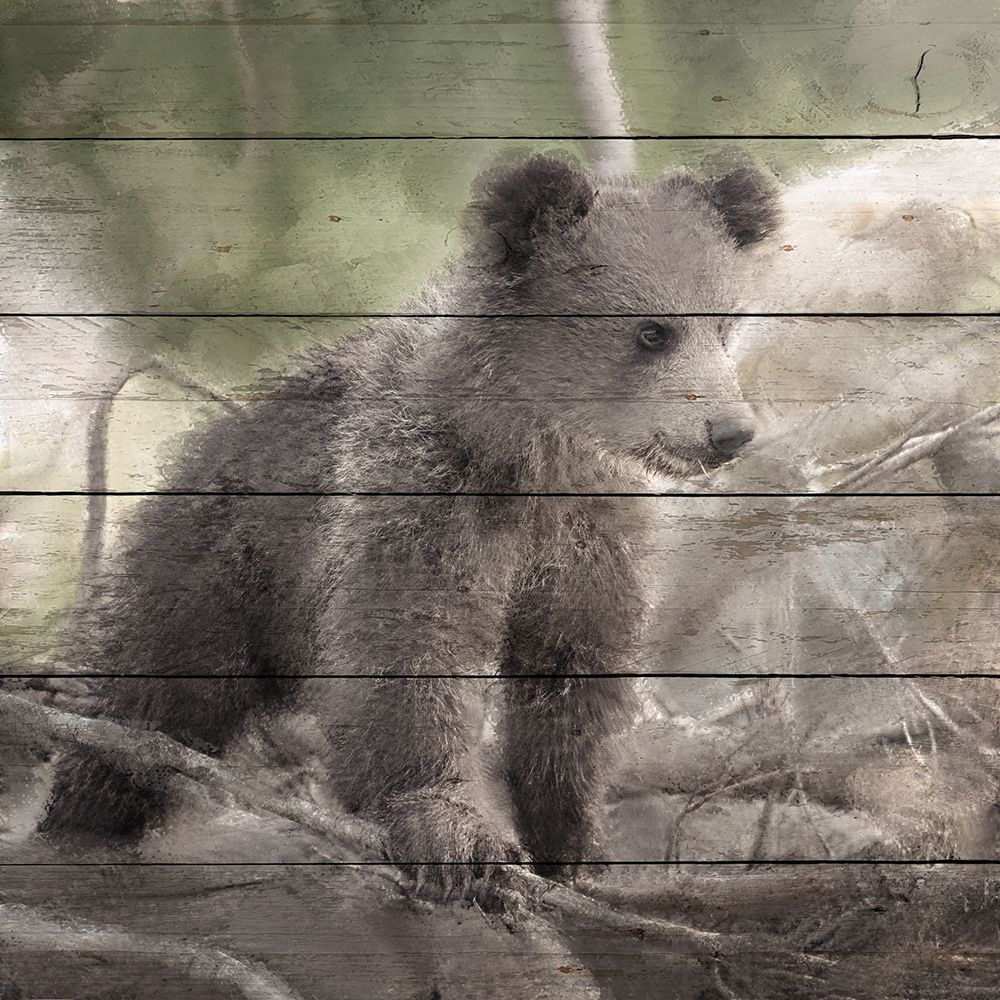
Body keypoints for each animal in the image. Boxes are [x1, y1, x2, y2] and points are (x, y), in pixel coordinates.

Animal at [39, 154, 778, 894]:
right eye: (652, 330)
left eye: (724, 325)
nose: (730, 431)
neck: (528, 454)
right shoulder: (421, 496)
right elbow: (408, 646)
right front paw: (455, 831)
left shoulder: (586, 536)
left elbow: (570, 674)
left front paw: (574, 843)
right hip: (216, 573)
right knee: (147, 699)